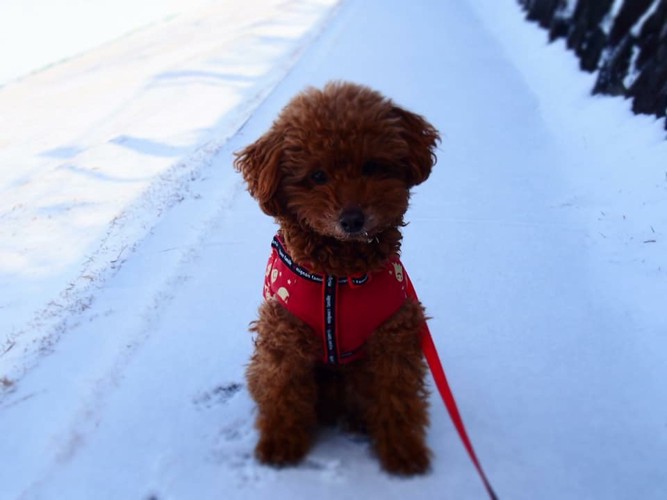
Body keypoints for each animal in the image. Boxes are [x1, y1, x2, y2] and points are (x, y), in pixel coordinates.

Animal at [232, 82, 440, 476]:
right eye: (317, 176)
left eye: (371, 166)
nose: (353, 219)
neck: (339, 273)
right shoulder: (283, 335)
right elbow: (283, 393)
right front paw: (279, 448)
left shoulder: (394, 333)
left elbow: (398, 396)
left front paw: (404, 453)